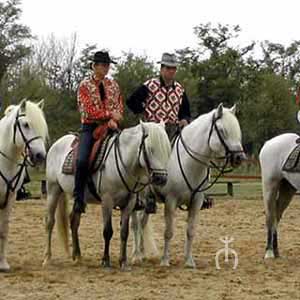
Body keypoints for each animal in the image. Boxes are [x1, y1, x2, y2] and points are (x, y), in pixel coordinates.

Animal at [42, 122, 171, 270]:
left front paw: (123, 261)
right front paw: (106, 260)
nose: (161, 178)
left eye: (167, 149)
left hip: (78, 199)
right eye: (150, 149)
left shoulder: (129, 203)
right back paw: (47, 258)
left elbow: (124, 232)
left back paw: (77, 256)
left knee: (74, 221)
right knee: (50, 222)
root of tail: (57, 143)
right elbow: (108, 231)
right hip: (53, 190)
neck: (123, 162)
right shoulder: (107, 201)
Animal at [131, 103, 246, 268]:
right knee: (135, 224)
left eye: (237, 130)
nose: (239, 157)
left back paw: (143, 253)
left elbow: (190, 231)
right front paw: (165, 261)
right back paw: (136, 256)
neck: (189, 164)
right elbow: (168, 232)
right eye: (223, 131)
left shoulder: (197, 201)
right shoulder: (170, 201)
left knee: (143, 222)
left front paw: (189, 261)